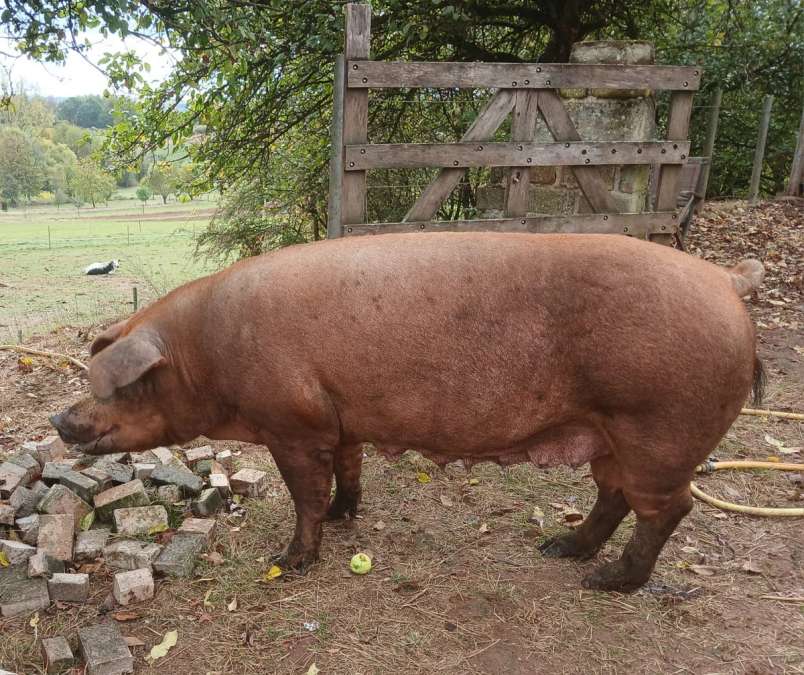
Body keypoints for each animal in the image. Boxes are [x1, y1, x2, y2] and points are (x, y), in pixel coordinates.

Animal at [50, 232, 765, 591]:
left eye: (111, 386)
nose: (60, 420)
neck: (205, 357)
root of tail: (727, 281)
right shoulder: (339, 418)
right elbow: (348, 470)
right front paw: (347, 517)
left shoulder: (292, 422)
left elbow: (303, 495)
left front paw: (292, 561)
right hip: (612, 435)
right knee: (612, 496)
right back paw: (559, 549)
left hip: (660, 429)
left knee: (668, 509)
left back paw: (608, 582)